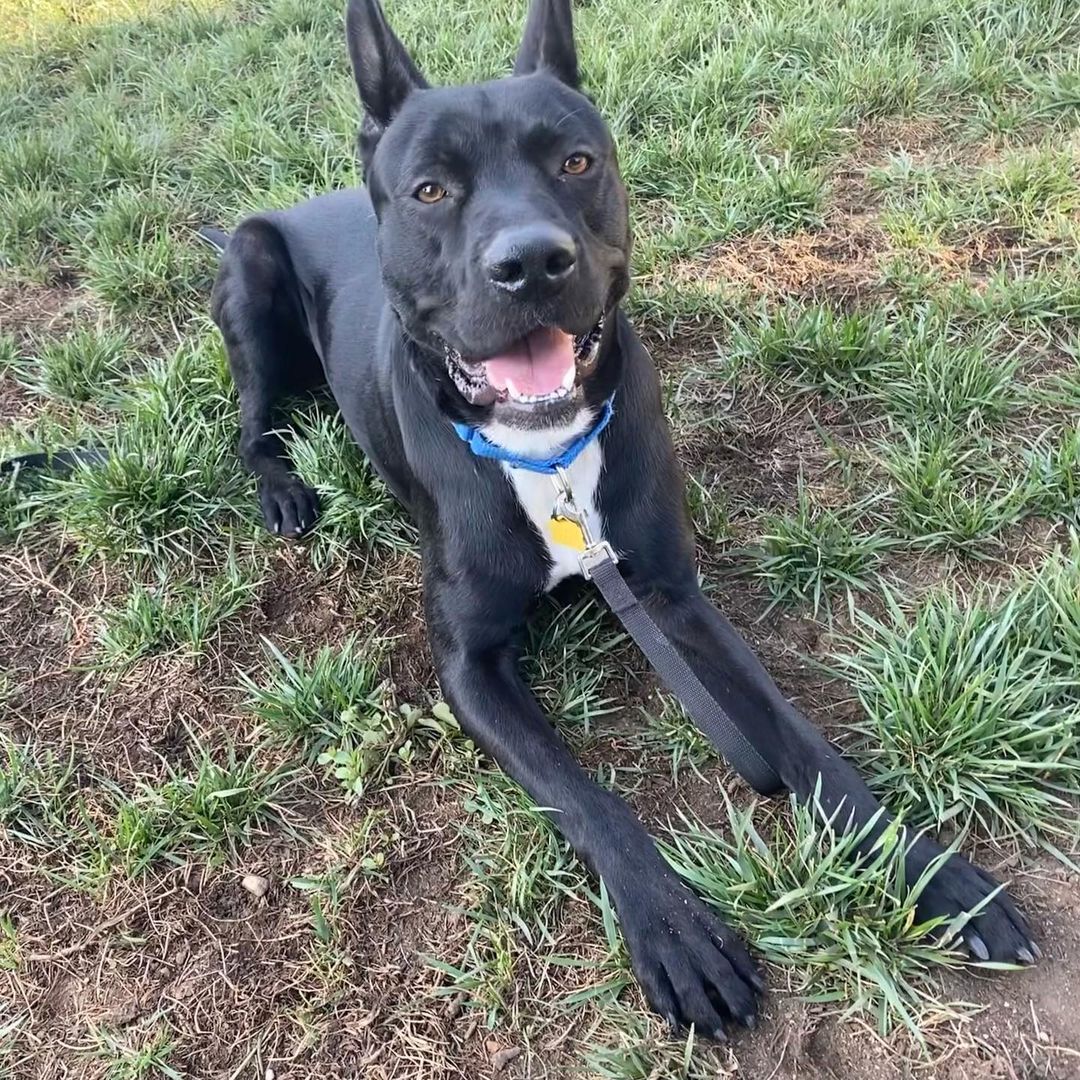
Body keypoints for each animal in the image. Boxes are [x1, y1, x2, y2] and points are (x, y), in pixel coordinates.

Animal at [204, 0, 1036, 1036]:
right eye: (431, 189)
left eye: (575, 162)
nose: (530, 262)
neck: (548, 454)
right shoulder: (468, 665)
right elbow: (583, 797)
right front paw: (677, 932)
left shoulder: (674, 598)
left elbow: (801, 740)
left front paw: (931, 872)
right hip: (250, 276)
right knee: (250, 426)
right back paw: (282, 489)